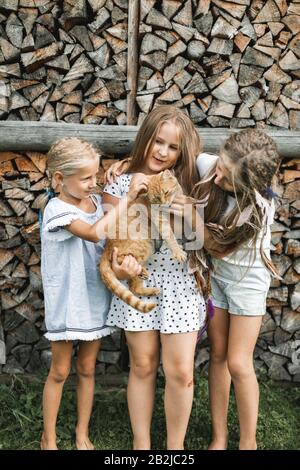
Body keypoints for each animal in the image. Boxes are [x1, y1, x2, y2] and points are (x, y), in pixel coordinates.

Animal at [99, 169, 186, 312]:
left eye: (166, 192)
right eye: (156, 199)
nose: (164, 203)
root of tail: (106, 248)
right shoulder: (160, 220)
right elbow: (170, 236)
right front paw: (178, 252)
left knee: (134, 288)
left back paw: (151, 287)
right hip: (144, 245)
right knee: (121, 260)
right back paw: (142, 272)